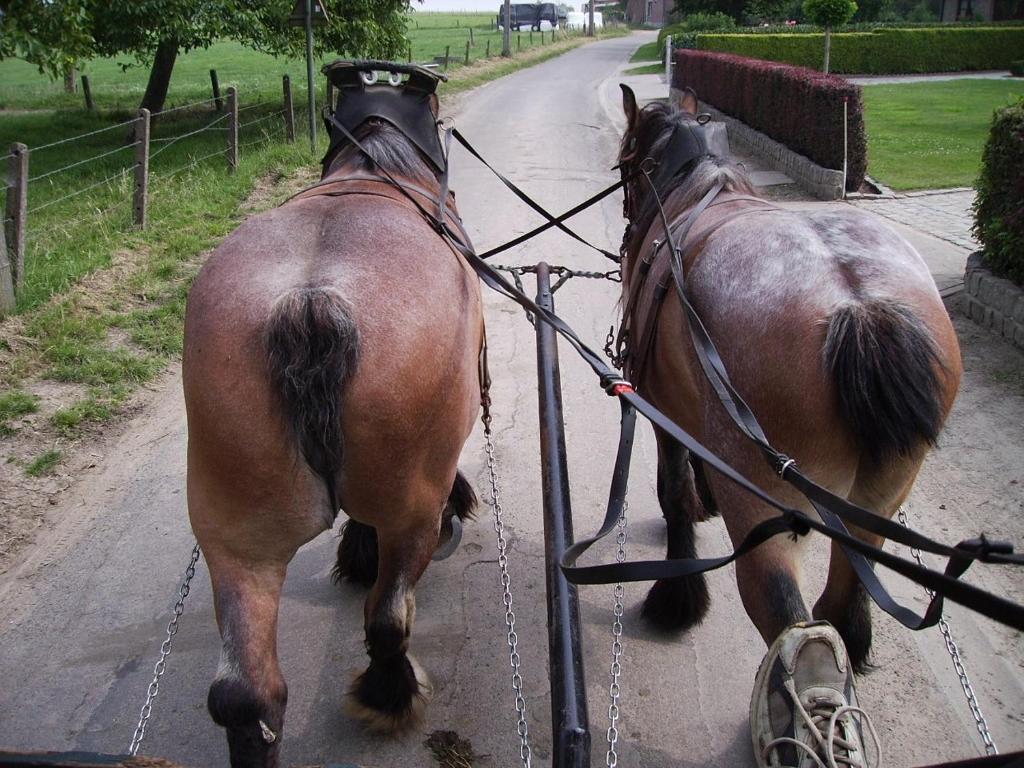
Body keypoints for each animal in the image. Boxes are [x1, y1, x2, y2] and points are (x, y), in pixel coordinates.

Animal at [181, 63, 483, 765]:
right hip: (407, 511)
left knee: (246, 694)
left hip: (237, 535)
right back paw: (388, 693)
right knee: (388, 616)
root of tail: (309, 299)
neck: (375, 166)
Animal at [614, 85, 958, 765]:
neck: (697, 191)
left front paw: (677, 598)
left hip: (764, 498)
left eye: (625, 166)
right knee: (845, 594)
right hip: (875, 499)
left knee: (785, 609)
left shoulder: (664, 409)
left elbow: (672, 491)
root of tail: (858, 307)